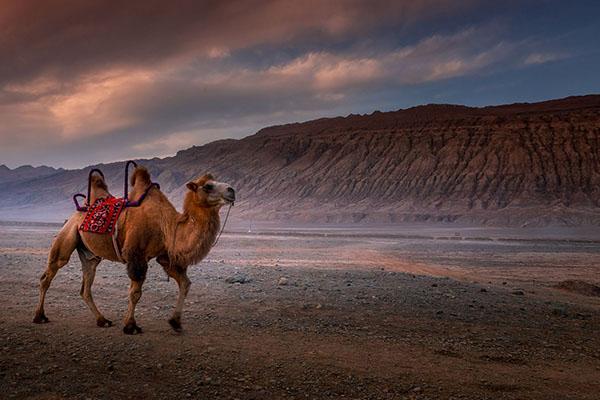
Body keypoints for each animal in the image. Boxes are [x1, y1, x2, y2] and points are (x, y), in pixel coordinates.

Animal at [31, 166, 234, 334]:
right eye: (208, 186)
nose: (232, 190)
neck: (167, 225)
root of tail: (78, 211)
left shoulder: (165, 257)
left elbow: (185, 283)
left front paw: (175, 322)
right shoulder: (136, 254)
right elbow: (135, 293)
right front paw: (131, 326)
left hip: (90, 255)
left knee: (86, 286)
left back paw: (102, 320)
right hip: (67, 235)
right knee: (48, 275)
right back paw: (39, 316)